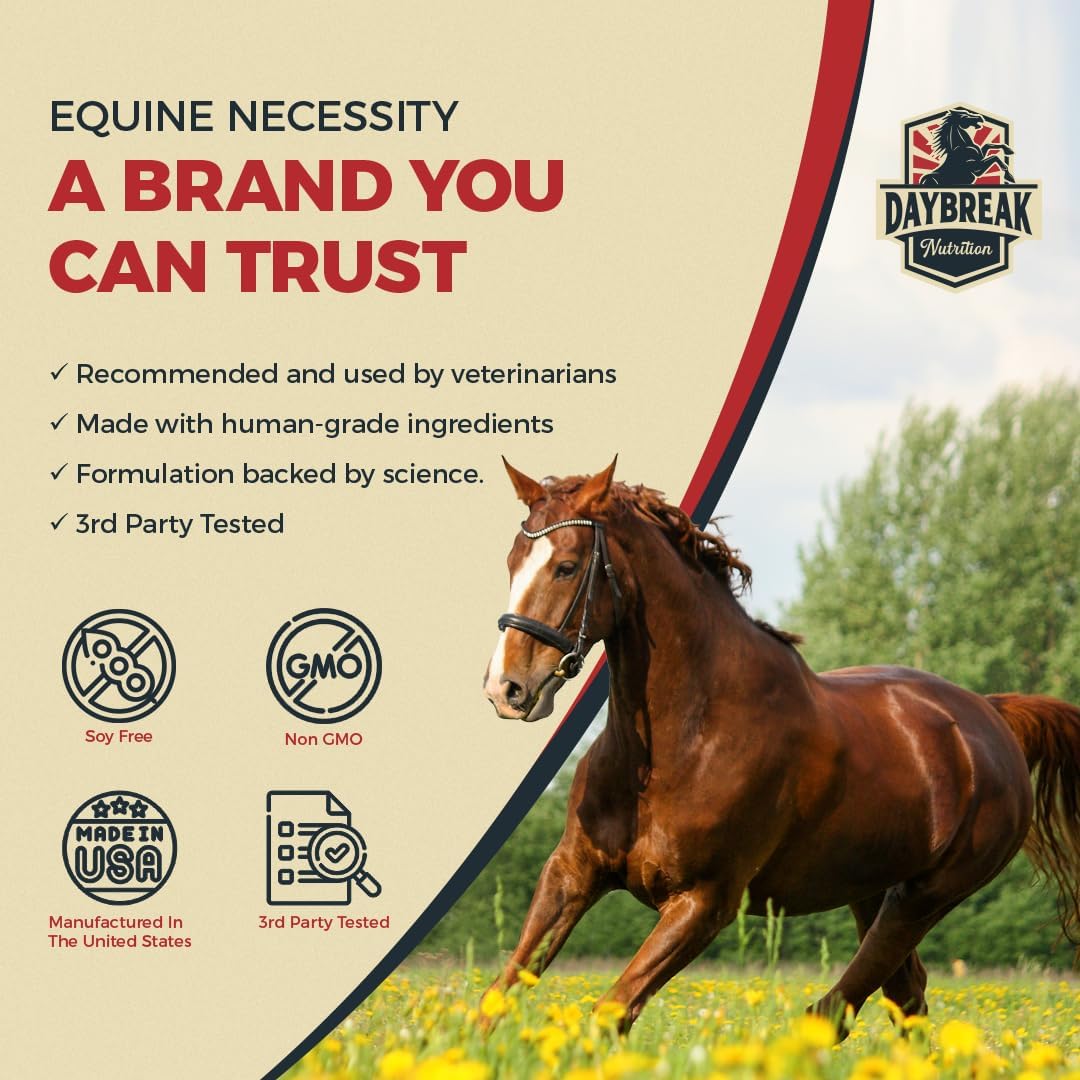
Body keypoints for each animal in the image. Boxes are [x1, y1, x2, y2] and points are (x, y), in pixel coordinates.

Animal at [482, 459, 1080, 1035]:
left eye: (566, 566)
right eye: (512, 561)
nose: (506, 689)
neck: (674, 747)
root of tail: (992, 716)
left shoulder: (704, 902)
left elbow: (613, 1010)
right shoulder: (572, 873)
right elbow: (499, 994)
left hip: (925, 896)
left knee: (841, 1007)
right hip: (870, 890)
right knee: (904, 997)